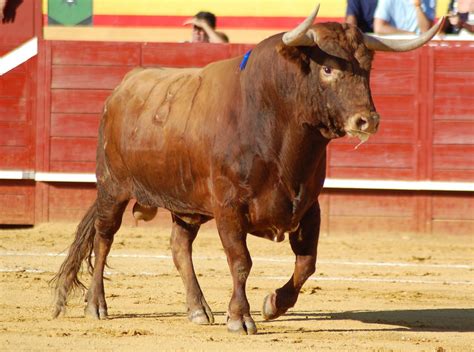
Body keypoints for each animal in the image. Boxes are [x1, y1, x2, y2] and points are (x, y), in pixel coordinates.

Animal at [52, 5, 444, 336]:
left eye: (368, 68)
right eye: (328, 69)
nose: (368, 120)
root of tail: (121, 88)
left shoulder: (309, 205)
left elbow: (307, 264)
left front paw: (272, 304)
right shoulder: (229, 208)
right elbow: (241, 261)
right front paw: (240, 318)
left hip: (185, 204)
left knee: (179, 247)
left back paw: (198, 310)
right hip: (112, 187)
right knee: (104, 238)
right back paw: (96, 305)